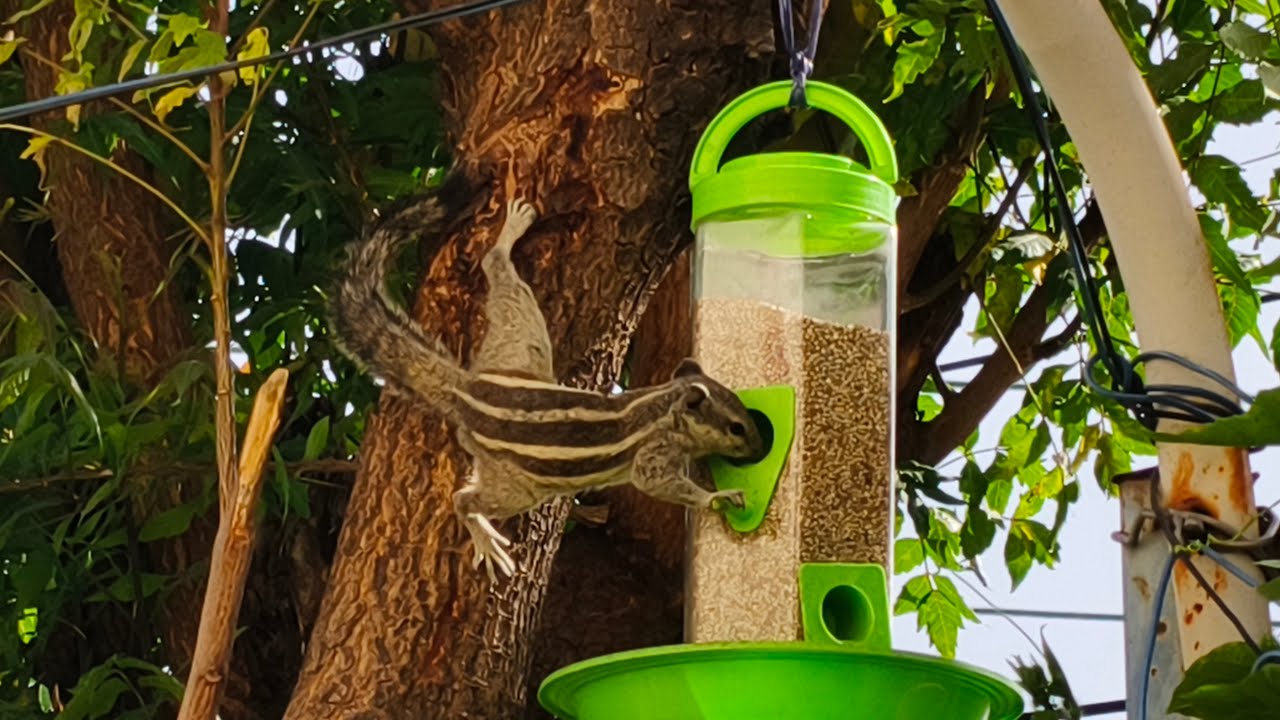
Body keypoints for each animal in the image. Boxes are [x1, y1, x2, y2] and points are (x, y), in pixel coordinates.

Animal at [330, 189, 765, 581]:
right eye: (736, 426)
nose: (759, 448)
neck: (663, 406)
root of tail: (468, 391)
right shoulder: (653, 456)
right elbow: (660, 484)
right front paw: (716, 497)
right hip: (517, 486)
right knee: (463, 499)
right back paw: (485, 538)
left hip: (521, 343)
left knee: (499, 273)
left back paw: (511, 232)